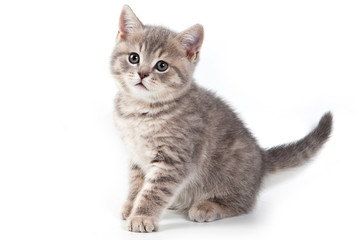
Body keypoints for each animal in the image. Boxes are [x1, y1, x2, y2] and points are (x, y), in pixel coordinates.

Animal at [109, 4, 332, 232]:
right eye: (134, 58)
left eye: (162, 66)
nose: (142, 74)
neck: (140, 110)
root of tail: (262, 158)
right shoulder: (135, 155)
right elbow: (137, 184)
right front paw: (131, 205)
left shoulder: (174, 158)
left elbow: (154, 191)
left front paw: (142, 216)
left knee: (244, 204)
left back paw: (207, 206)